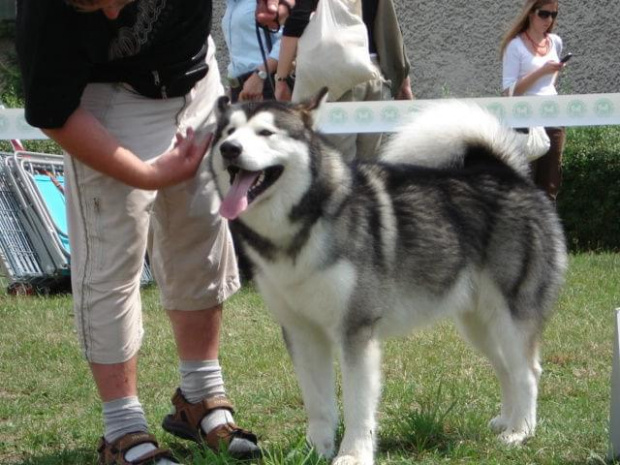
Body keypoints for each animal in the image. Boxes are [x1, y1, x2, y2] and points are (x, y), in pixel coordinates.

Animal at [208, 89, 568, 464]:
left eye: (266, 132)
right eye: (228, 132)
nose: (230, 149)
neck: (303, 224)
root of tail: (507, 173)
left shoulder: (356, 329)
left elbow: (357, 405)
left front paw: (353, 454)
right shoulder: (302, 332)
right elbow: (318, 403)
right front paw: (315, 451)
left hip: (511, 315)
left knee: (527, 371)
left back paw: (520, 431)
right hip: (478, 323)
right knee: (505, 367)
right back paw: (506, 421)